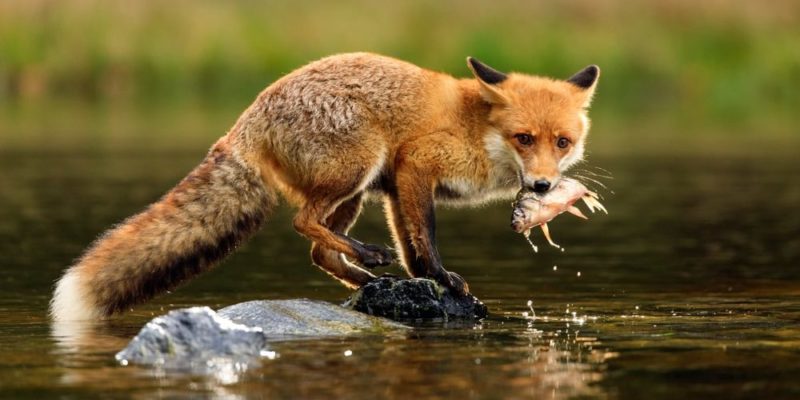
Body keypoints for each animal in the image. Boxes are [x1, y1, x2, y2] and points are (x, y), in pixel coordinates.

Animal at [50, 53, 599, 321]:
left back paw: (367, 278)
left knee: (319, 250)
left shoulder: (396, 186)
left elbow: (412, 248)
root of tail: (246, 118)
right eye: (524, 138)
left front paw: (428, 282)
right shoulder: (415, 165)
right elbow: (425, 238)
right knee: (304, 222)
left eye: (563, 142)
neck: (477, 129)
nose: (544, 185)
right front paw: (443, 279)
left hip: (358, 189)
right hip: (357, 166)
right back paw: (369, 259)